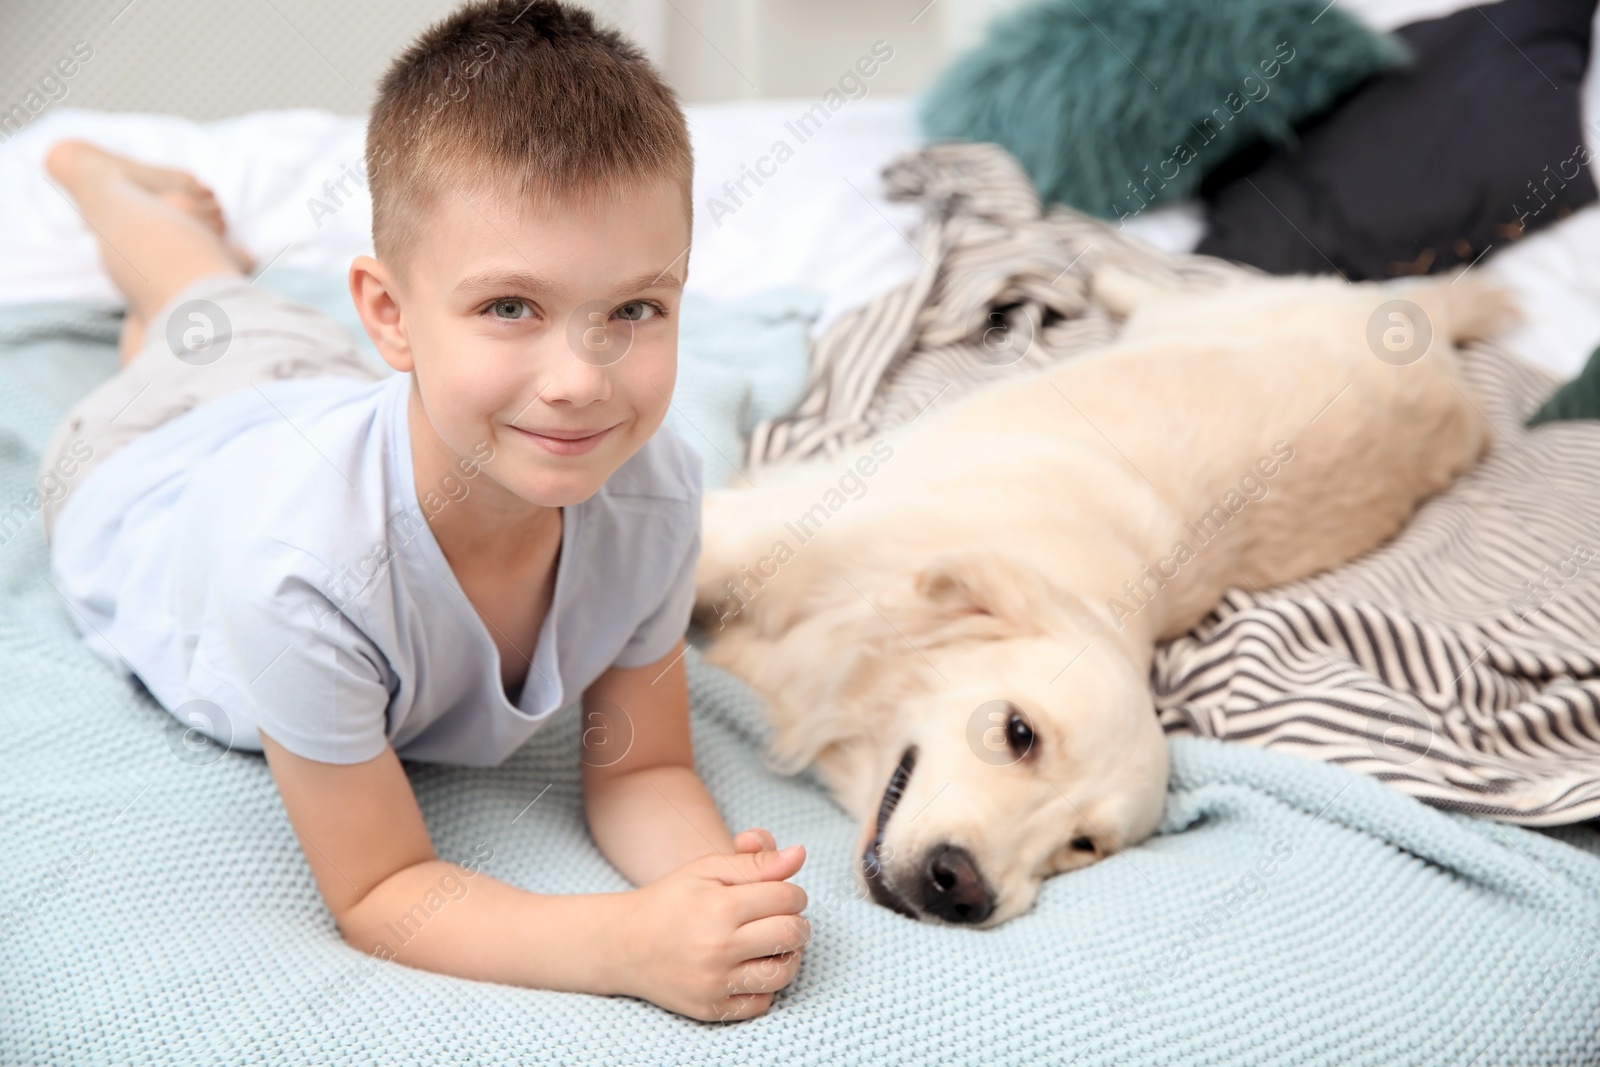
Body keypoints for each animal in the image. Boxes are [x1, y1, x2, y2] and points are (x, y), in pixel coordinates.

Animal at [691, 268, 1510, 927]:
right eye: (1018, 733)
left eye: (1083, 844)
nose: (963, 889)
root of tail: (1433, 345)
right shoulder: (744, 535)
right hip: (1223, 309)